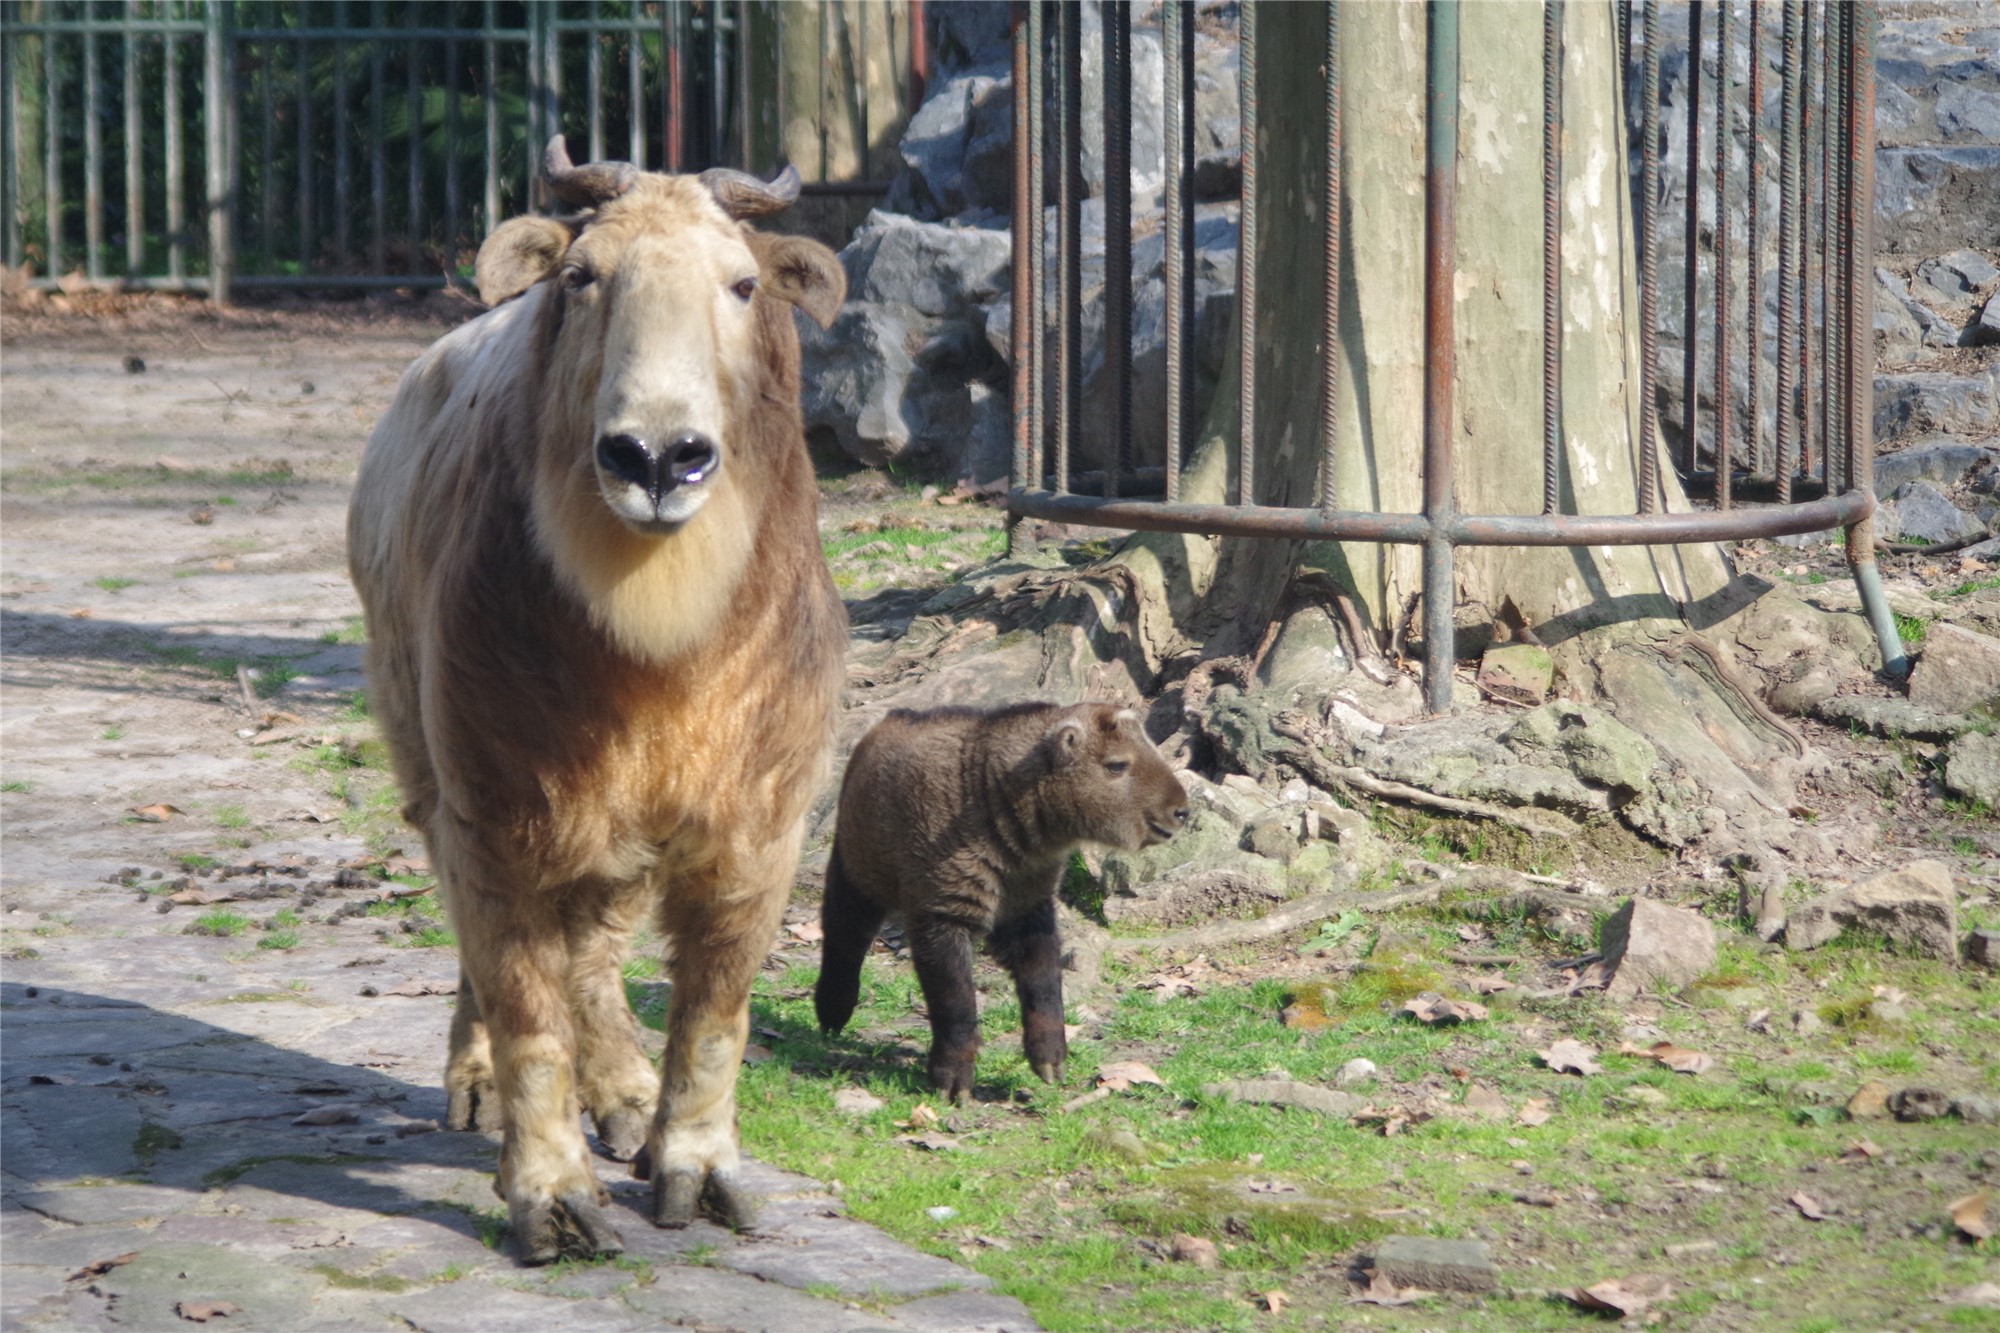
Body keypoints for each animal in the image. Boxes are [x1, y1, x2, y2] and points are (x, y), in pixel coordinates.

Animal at [346, 140, 844, 1264]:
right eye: (582, 279)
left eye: (741, 285)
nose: (657, 457)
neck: (655, 653)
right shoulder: (492, 811)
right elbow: (526, 1009)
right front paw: (551, 1192)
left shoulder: (761, 825)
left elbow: (713, 1013)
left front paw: (696, 1165)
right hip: (428, 768)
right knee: (502, 955)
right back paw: (483, 1083)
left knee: (596, 951)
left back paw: (620, 1095)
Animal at [816, 700, 1184, 1096]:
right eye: (1116, 764)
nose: (1182, 811)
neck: (991, 798)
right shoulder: (941, 915)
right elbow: (955, 1002)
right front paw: (953, 1080)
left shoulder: (1029, 910)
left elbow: (1044, 984)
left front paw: (1050, 1059)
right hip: (854, 875)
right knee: (843, 941)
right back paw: (832, 1013)